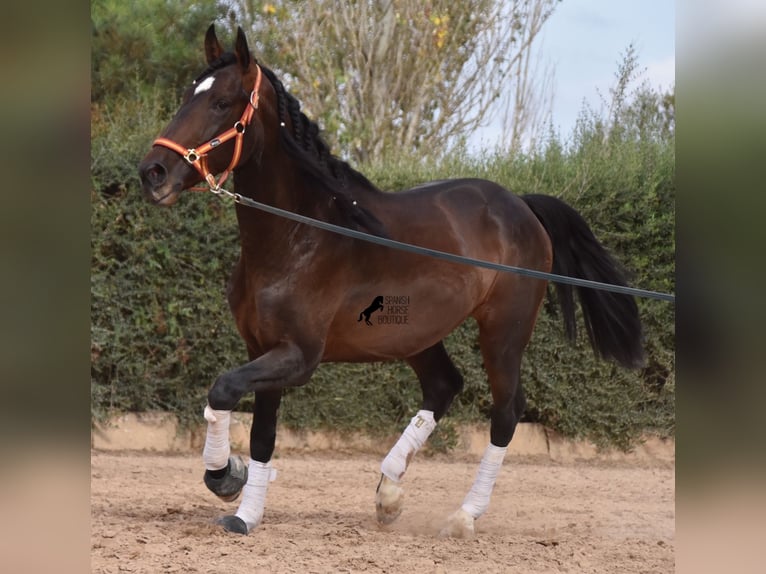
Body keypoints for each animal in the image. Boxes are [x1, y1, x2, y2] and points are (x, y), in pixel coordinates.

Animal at [140, 25, 648, 540]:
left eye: (222, 102)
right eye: (187, 95)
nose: (152, 173)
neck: (299, 238)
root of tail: (521, 205)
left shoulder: (298, 356)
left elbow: (223, 390)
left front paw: (226, 477)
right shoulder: (262, 348)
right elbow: (262, 433)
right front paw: (245, 512)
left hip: (503, 332)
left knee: (506, 411)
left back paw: (463, 516)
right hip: (416, 334)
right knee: (444, 385)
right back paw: (389, 493)